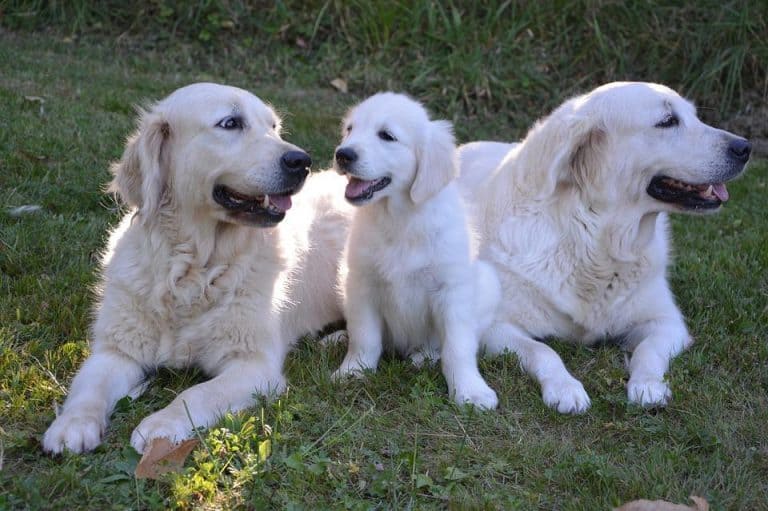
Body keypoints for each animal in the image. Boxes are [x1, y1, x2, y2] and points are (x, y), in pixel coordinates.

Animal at [44, 84, 352, 456]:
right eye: (231, 123)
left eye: (274, 127)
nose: (301, 161)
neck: (193, 268)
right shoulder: (117, 349)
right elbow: (89, 387)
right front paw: (71, 425)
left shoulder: (253, 364)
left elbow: (197, 393)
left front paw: (161, 424)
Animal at [332, 92, 500, 410]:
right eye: (350, 129)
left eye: (387, 136)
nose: (342, 154)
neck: (400, 219)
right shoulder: (361, 283)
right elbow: (364, 336)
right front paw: (353, 371)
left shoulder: (452, 290)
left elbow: (458, 346)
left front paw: (470, 390)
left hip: (486, 285)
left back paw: (424, 356)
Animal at [456, 82, 752, 414]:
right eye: (667, 121)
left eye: (695, 115)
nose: (745, 148)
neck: (596, 240)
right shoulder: (497, 328)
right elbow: (543, 351)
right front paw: (566, 388)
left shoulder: (667, 322)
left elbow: (648, 351)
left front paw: (648, 385)